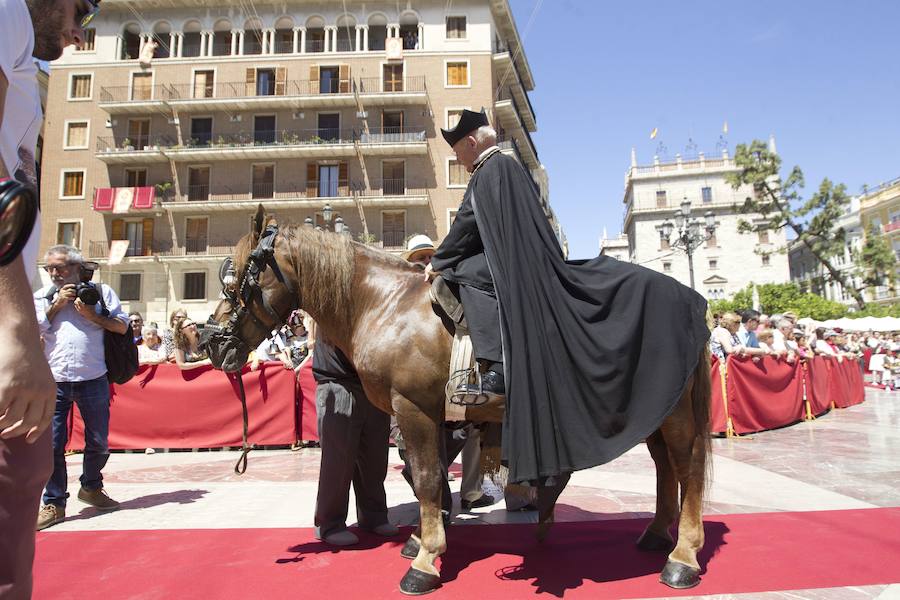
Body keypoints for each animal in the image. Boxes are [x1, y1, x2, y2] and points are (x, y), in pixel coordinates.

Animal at [207, 207, 712, 596]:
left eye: (235, 282)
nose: (213, 344)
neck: (385, 303)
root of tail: (693, 299)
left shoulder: (413, 409)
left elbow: (429, 479)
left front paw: (426, 561)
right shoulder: (422, 415)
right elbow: (422, 477)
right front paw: (421, 539)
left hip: (676, 411)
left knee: (686, 467)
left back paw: (683, 557)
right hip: (655, 410)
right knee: (665, 467)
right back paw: (656, 534)